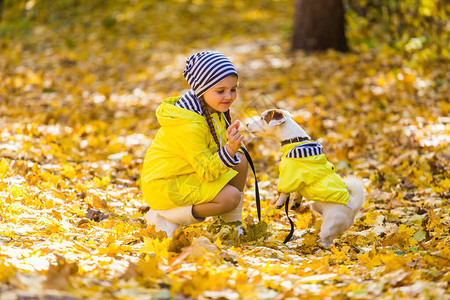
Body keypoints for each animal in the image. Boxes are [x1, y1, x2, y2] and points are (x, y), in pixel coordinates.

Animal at [246, 109, 366, 247]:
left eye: (262, 118)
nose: (247, 123)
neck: (294, 141)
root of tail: (353, 208)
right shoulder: (300, 181)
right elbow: (298, 192)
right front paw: (295, 203)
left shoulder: (288, 176)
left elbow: (284, 192)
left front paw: (279, 203)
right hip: (316, 208)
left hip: (329, 226)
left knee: (327, 242)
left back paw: (318, 245)